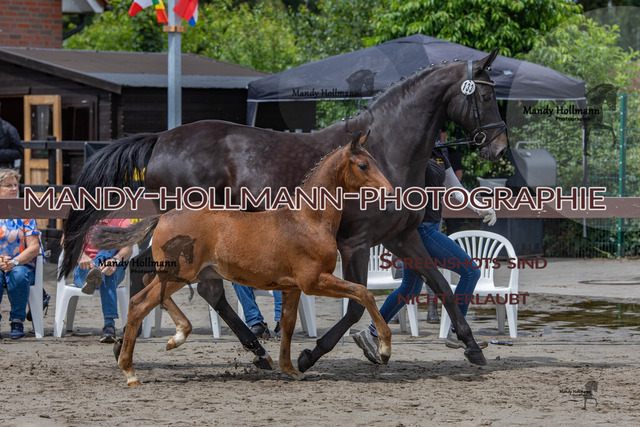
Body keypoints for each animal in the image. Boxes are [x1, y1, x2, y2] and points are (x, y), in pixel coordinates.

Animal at [92, 132, 395, 385]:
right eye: (363, 165)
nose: (390, 193)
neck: (308, 220)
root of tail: (163, 216)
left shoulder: (293, 287)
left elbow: (288, 324)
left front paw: (290, 368)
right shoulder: (313, 281)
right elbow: (363, 293)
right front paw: (384, 349)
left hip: (177, 274)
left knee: (147, 285)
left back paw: (176, 336)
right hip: (180, 274)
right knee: (138, 303)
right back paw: (131, 370)